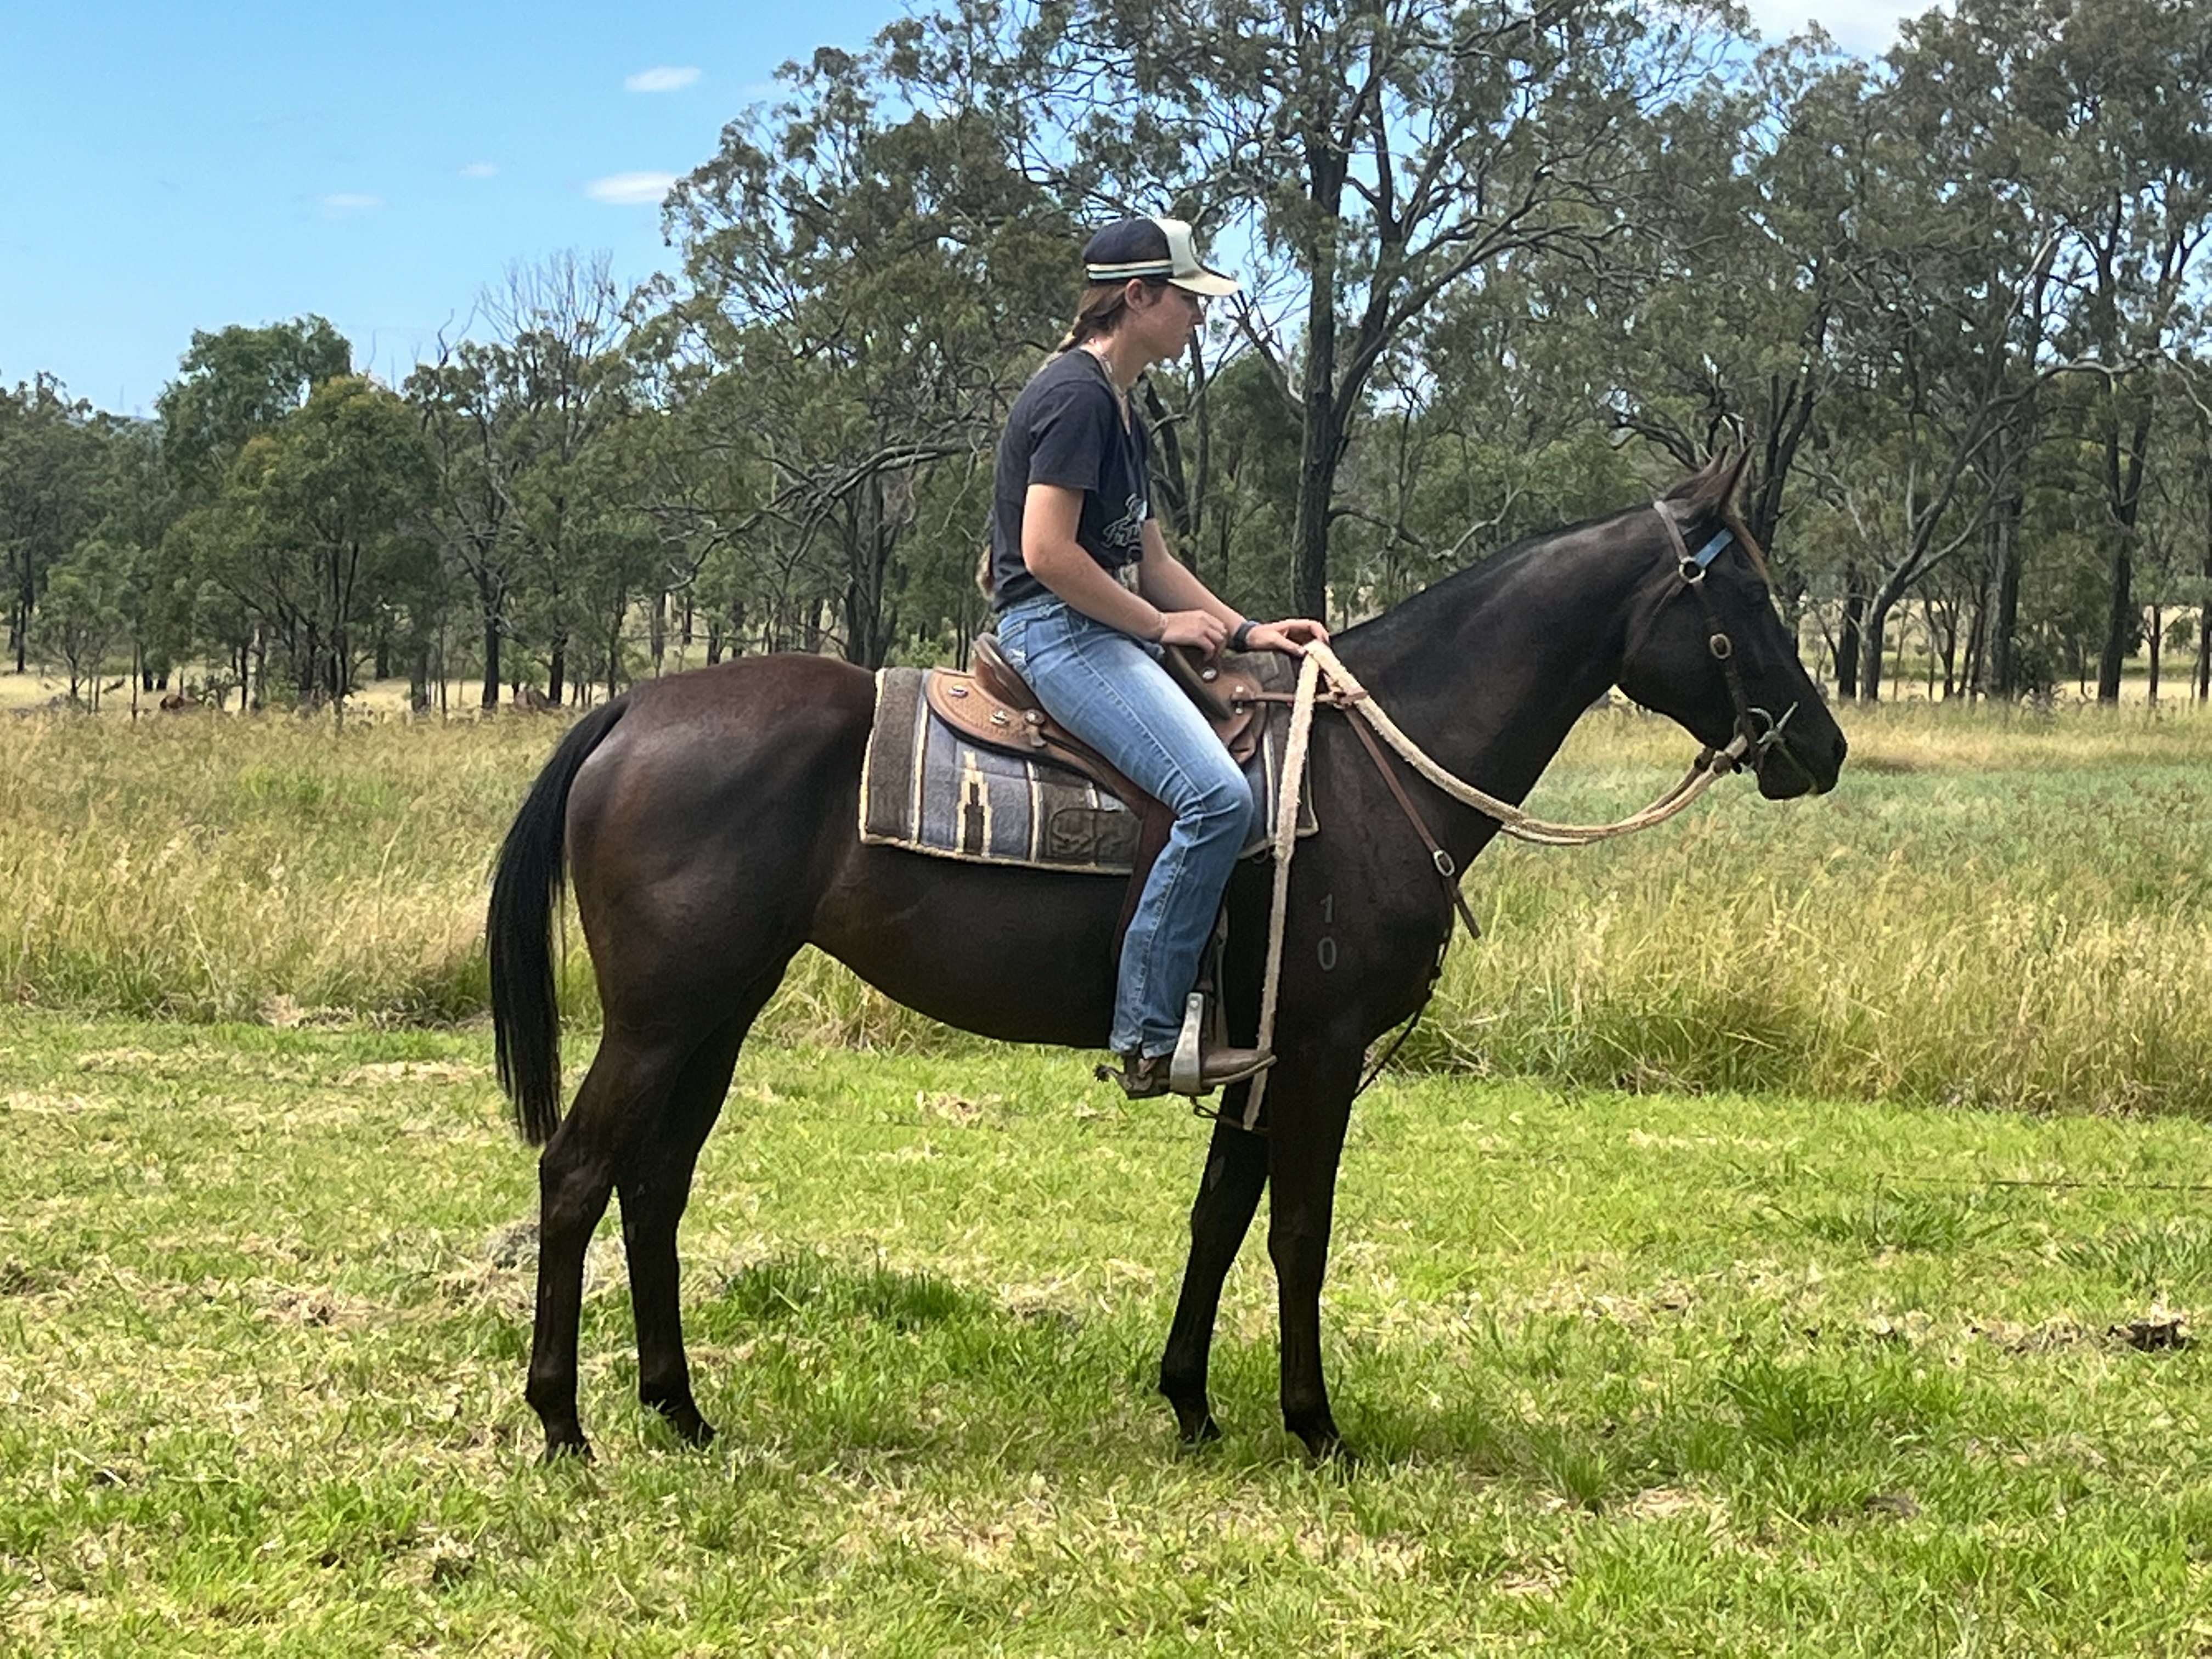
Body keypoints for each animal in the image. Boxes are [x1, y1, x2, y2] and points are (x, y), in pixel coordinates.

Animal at [488, 456, 1847, 1462]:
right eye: (1747, 596)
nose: (1821, 748)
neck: (1371, 770)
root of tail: (632, 708)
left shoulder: (1257, 1047)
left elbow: (1219, 1216)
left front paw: (1191, 1401)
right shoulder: (1321, 1051)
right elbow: (1299, 1230)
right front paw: (1316, 1425)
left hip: (718, 1013)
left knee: (656, 1184)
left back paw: (679, 1408)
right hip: (659, 1018)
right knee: (578, 1171)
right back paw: (562, 1422)